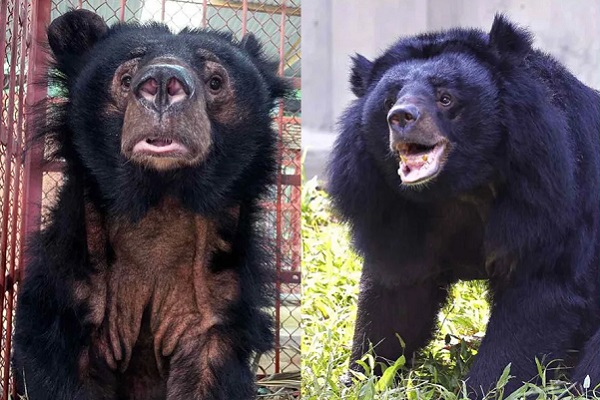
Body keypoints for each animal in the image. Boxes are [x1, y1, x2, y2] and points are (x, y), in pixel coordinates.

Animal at [11, 9, 288, 400]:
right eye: (126, 78)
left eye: (216, 81)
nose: (161, 82)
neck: (160, 203)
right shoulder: (72, 286)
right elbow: (56, 365)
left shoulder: (217, 301)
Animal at [326, 14, 600, 398]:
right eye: (389, 100)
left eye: (445, 98)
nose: (401, 117)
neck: (463, 186)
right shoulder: (391, 209)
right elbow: (395, 297)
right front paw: (362, 378)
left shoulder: (552, 200)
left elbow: (539, 297)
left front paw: (483, 387)